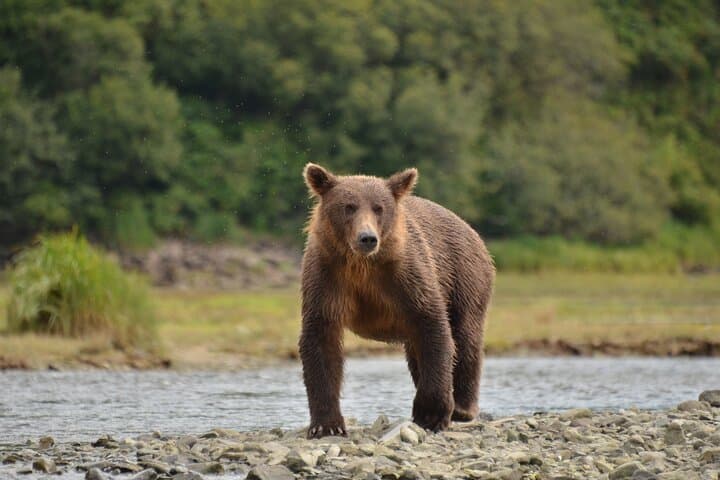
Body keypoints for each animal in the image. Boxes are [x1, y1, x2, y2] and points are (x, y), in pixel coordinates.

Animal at [299, 163, 495, 438]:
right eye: (348, 206)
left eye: (379, 208)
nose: (367, 238)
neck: (362, 266)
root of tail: (470, 228)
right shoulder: (327, 277)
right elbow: (320, 339)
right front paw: (327, 425)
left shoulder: (406, 276)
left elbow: (433, 324)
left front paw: (431, 414)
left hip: (465, 276)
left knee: (465, 336)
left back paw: (463, 408)